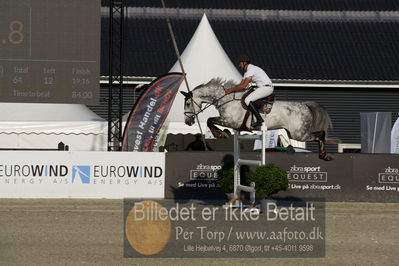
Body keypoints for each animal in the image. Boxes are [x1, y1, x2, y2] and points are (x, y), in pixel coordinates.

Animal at [181, 77, 334, 160]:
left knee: (321, 134)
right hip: (295, 133)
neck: (226, 99)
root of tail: (305, 106)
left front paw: (221, 134)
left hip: (299, 134)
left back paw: (324, 155)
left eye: (188, 103)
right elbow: (210, 120)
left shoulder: (230, 121)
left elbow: (210, 120)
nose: (188, 122)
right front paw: (223, 133)